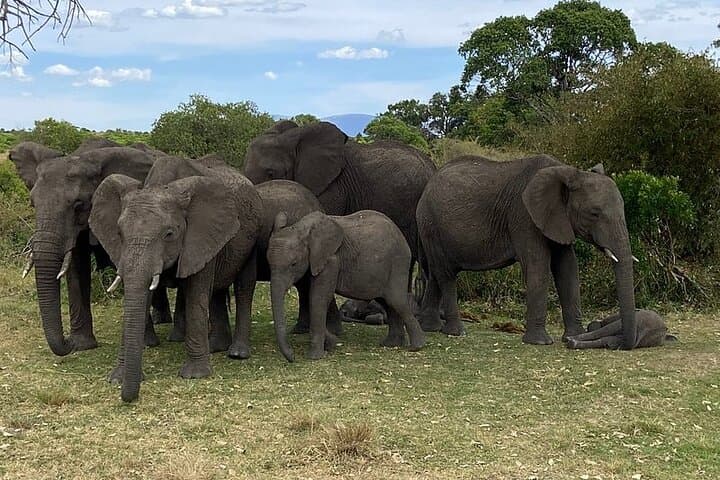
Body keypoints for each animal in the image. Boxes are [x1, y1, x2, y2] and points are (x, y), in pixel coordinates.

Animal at [9, 140, 173, 357]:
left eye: (78, 204)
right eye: (32, 203)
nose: (67, 342)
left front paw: (146, 344)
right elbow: (76, 268)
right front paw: (82, 345)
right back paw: (161, 319)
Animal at [89, 163, 262, 402]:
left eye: (169, 234)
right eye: (119, 233)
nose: (128, 397)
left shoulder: (200, 234)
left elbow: (196, 296)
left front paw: (195, 375)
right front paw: (117, 378)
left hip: (252, 239)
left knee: (244, 287)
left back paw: (236, 353)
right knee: (216, 293)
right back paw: (215, 347)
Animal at [267, 210, 426, 362]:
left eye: (293, 264)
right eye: (268, 263)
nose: (292, 357)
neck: (300, 228)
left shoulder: (331, 260)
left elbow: (318, 299)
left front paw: (314, 357)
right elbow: (313, 296)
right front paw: (332, 344)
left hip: (398, 263)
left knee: (396, 301)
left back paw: (416, 347)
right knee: (386, 302)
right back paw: (391, 344)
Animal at [416, 155, 640, 349]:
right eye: (594, 213)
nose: (621, 344)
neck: (567, 172)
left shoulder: (557, 219)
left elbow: (567, 268)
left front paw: (574, 336)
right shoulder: (524, 216)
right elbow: (538, 265)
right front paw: (540, 342)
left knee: (436, 273)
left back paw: (431, 328)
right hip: (430, 225)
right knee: (446, 274)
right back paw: (457, 332)